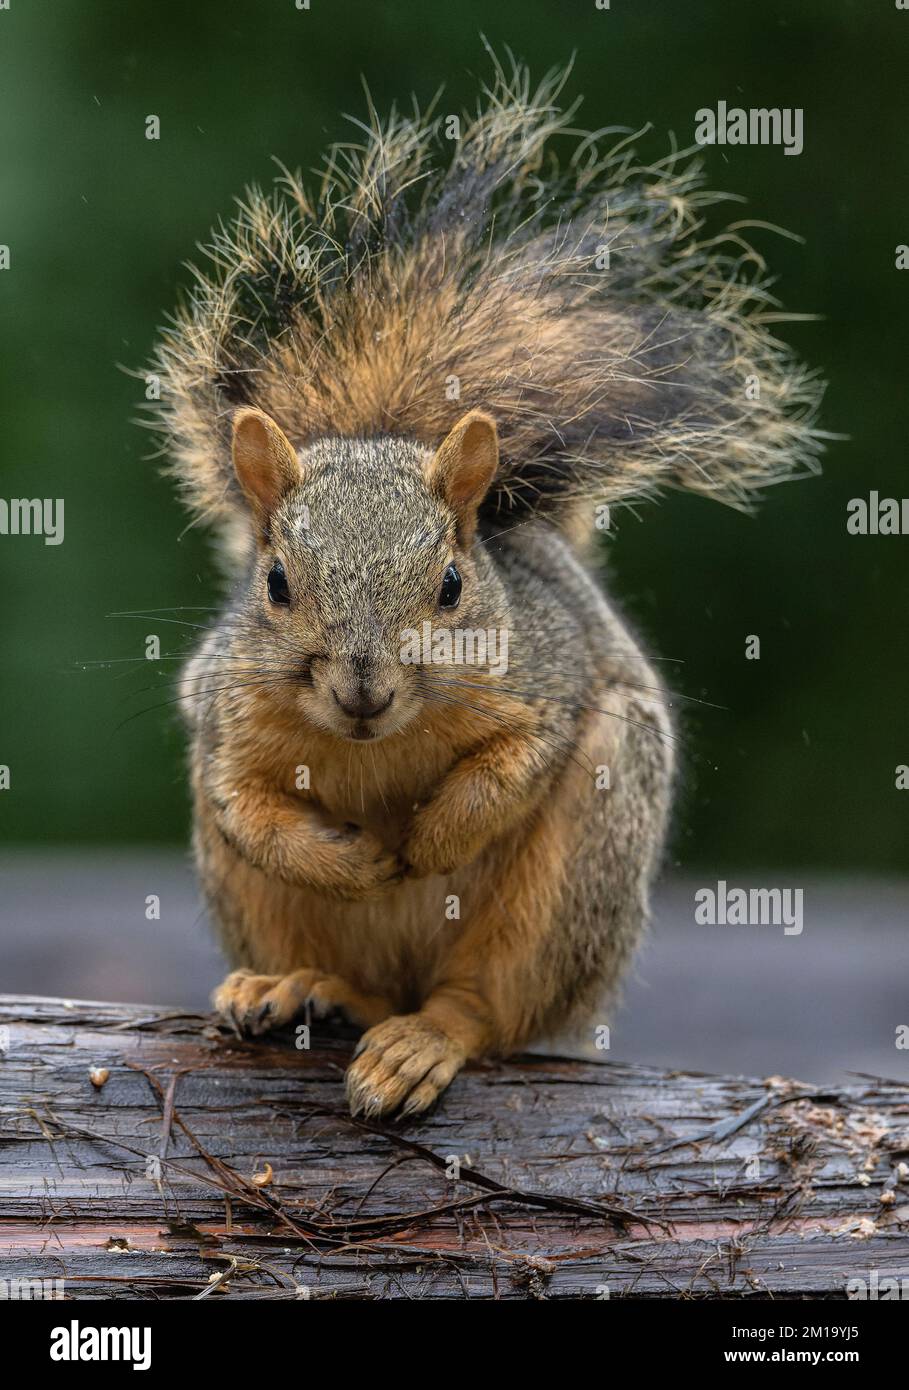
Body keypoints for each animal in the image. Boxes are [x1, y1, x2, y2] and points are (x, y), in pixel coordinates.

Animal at [148, 58, 823, 1118]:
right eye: (277, 582)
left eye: (454, 584)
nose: (363, 689)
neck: (377, 750)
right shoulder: (224, 715)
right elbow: (246, 809)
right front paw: (356, 860)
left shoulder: (547, 676)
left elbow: (515, 765)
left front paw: (426, 844)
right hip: (259, 903)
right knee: (341, 970)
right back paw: (292, 985)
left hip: (577, 875)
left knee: (483, 1007)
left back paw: (419, 1041)